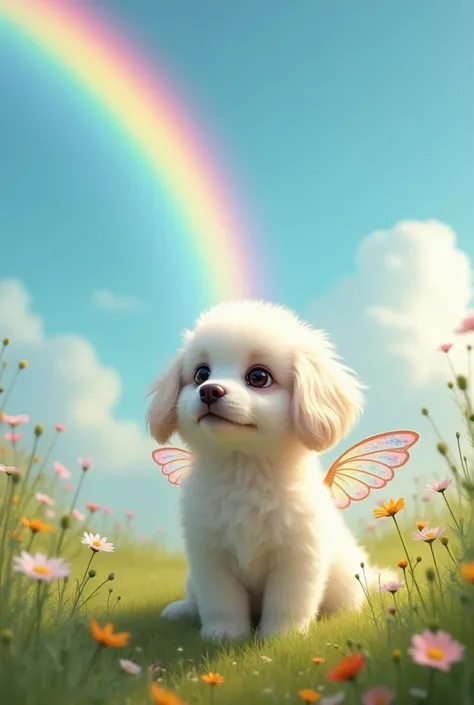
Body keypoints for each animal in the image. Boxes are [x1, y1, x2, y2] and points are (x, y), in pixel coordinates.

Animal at [147, 300, 392, 640]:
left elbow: (286, 602)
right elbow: (221, 602)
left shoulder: (296, 557)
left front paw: (281, 637)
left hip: (345, 580)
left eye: (258, 377)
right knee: (195, 598)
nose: (209, 391)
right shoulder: (210, 556)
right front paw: (223, 635)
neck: (244, 468)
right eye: (201, 374)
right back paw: (181, 609)